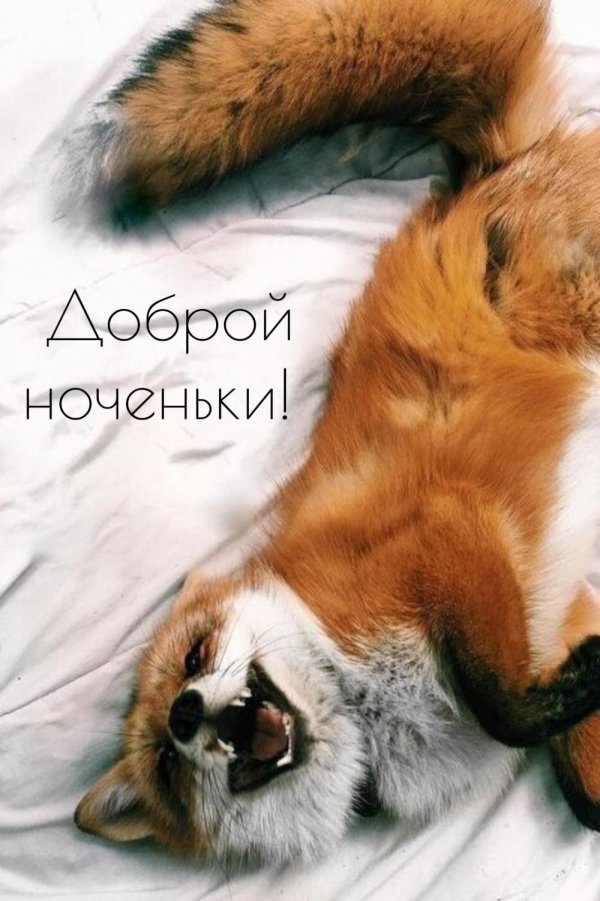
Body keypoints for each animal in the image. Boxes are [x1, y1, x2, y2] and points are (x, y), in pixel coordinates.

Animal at [72, 0, 600, 865]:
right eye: (167, 764)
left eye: (194, 655)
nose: (184, 712)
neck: (361, 704)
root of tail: (487, 172)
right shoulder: (560, 611)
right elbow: (581, 785)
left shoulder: (444, 532)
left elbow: (502, 710)